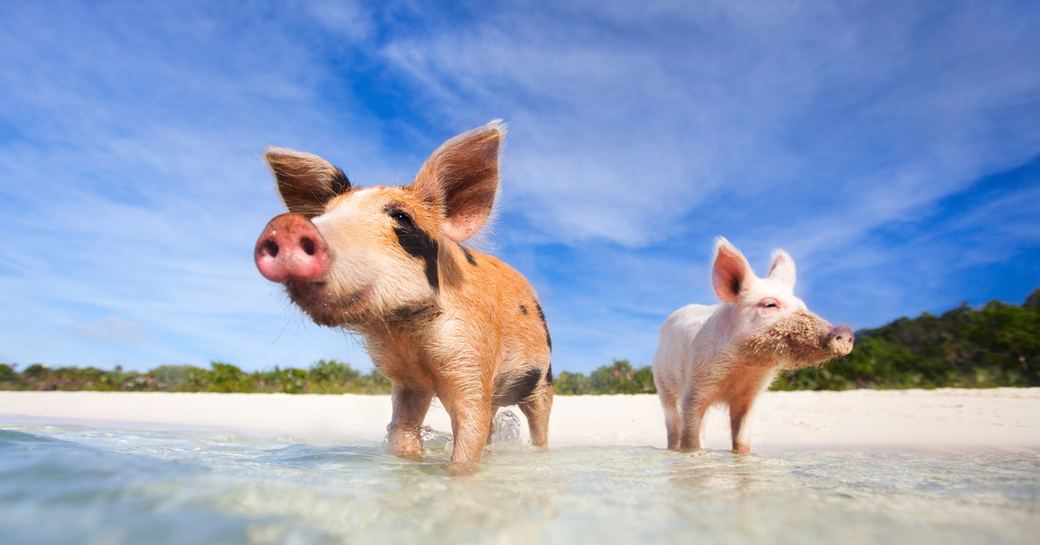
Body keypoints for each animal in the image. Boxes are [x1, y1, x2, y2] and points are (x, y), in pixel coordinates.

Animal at [252, 122, 553, 463]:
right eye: (322, 215)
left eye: (401, 217)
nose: (286, 226)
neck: (408, 335)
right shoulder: (407, 382)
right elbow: (403, 431)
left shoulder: (471, 358)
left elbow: (469, 435)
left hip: (543, 381)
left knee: (538, 423)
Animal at [648, 236, 852, 453]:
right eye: (770, 304)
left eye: (803, 306)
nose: (845, 331)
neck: (744, 367)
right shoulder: (696, 385)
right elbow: (689, 436)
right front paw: (690, 453)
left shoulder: (749, 396)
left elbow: (742, 439)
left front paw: (741, 455)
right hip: (662, 382)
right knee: (672, 423)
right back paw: (673, 449)